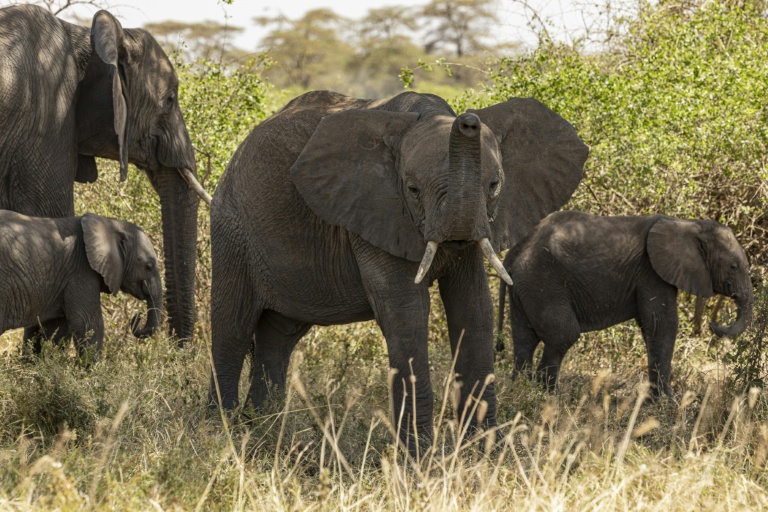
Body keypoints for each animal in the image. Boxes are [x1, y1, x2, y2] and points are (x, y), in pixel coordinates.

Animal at [0, 210, 162, 360]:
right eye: (148, 266)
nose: (137, 316)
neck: (112, 224)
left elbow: (54, 328)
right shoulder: (81, 271)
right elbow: (89, 323)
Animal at [209, 90, 589, 447]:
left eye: (494, 185)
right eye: (413, 189)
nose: (468, 121)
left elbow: (474, 308)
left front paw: (485, 455)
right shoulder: (374, 212)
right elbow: (407, 313)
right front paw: (420, 461)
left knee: (279, 338)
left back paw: (263, 430)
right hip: (232, 231)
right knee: (233, 329)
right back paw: (223, 432)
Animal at [497, 210, 753, 396]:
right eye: (733, 266)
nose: (713, 324)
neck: (689, 224)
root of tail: (512, 254)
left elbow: (650, 328)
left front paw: (655, 400)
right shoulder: (651, 271)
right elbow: (663, 325)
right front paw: (669, 401)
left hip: (525, 287)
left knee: (524, 340)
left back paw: (523, 391)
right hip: (542, 281)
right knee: (563, 334)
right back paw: (550, 398)